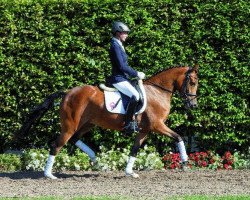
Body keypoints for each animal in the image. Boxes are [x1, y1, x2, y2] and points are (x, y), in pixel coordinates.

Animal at [16, 65, 199, 179]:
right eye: (192, 82)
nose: (193, 105)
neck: (157, 91)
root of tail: (67, 92)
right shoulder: (157, 125)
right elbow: (178, 137)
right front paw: (185, 163)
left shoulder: (144, 130)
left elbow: (134, 149)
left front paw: (129, 172)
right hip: (69, 127)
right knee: (56, 145)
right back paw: (49, 175)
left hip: (87, 124)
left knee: (75, 140)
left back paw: (97, 161)